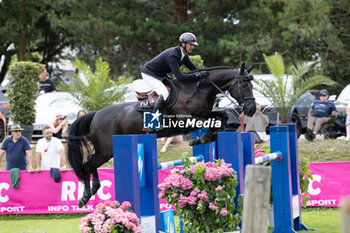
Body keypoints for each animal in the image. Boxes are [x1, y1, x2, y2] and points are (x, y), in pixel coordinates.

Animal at [67, 62, 256, 207]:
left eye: (251, 85)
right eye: (243, 85)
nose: (251, 109)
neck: (197, 90)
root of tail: (95, 114)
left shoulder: (206, 115)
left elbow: (221, 116)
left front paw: (202, 138)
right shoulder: (187, 120)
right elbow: (216, 121)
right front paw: (200, 138)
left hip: (104, 151)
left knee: (90, 163)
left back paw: (92, 190)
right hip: (106, 151)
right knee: (87, 166)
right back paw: (85, 197)